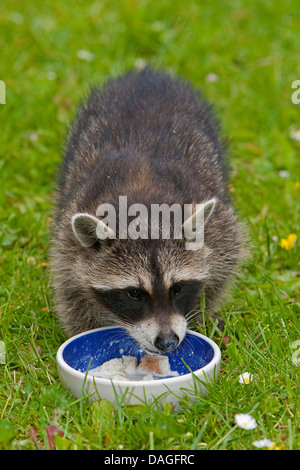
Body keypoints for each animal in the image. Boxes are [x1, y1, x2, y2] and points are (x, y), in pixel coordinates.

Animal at [50, 67, 245, 352]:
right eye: (134, 293)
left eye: (178, 287)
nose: (167, 342)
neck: (147, 215)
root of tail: (147, 73)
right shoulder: (68, 242)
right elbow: (72, 289)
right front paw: (86, 331)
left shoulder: (221, 231)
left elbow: (221, 272)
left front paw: (199, 315)